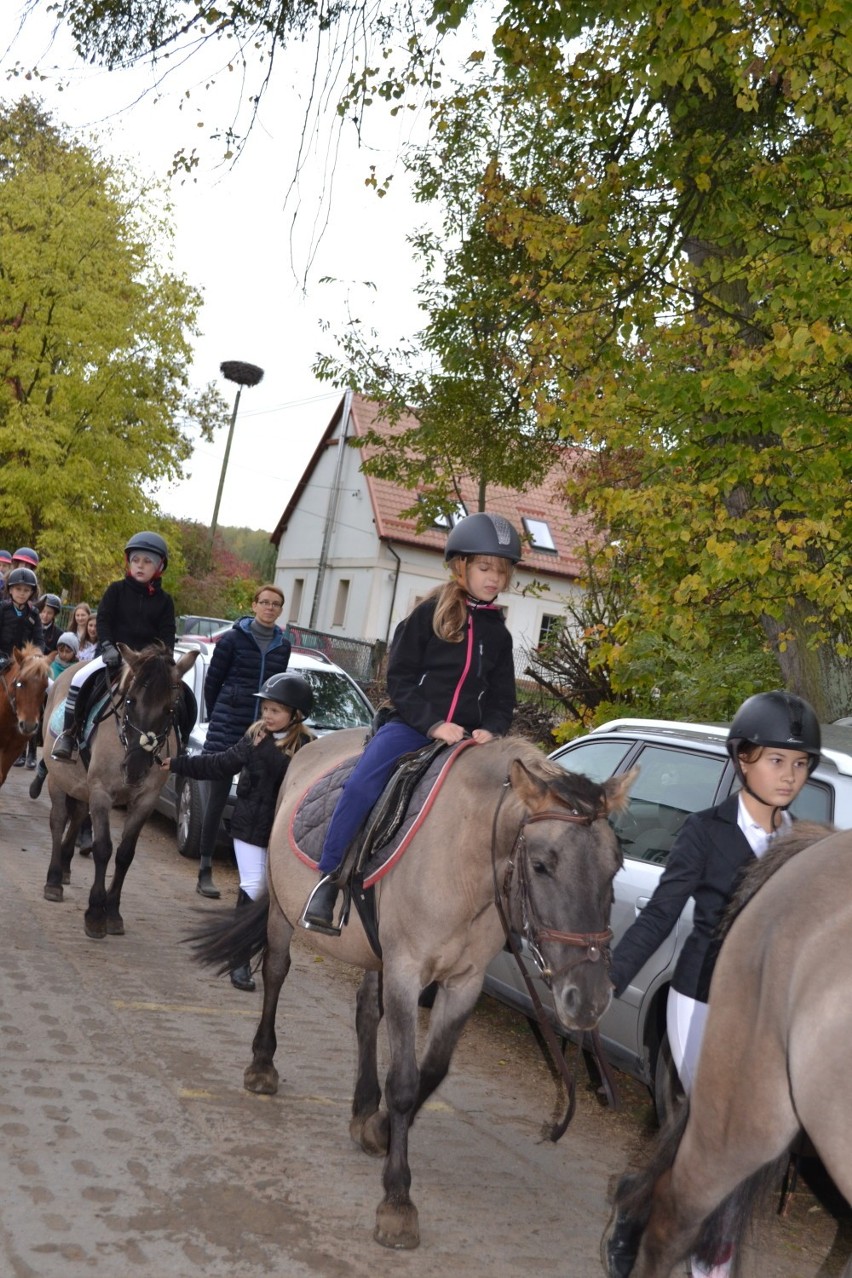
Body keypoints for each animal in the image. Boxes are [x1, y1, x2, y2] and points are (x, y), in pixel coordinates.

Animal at [42, 649, 197, 940]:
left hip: (83, 786)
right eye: (129, 701)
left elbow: (125, 854)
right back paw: (54, 881)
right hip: (58, 778)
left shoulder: (145, 801)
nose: (135, 769)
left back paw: (65, 867)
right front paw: (95, 915)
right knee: (58, 820)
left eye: (170, 710)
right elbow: (103, 848)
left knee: (77, 815)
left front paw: (113, 913)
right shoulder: (102, 793)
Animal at [190, 736, 636, 1252]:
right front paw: (397, 1202)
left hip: (372, 952)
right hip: (284, 912)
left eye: (615, 866)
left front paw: (378, 1129)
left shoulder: (462, 983)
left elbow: (432, 1072)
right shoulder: (407, 971)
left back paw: (363, 1106)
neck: (462, 862)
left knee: (366, 1011)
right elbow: (404, 1082)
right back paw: (262, 1066)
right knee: (277, 973)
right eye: (542, 866)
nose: (590, 999)